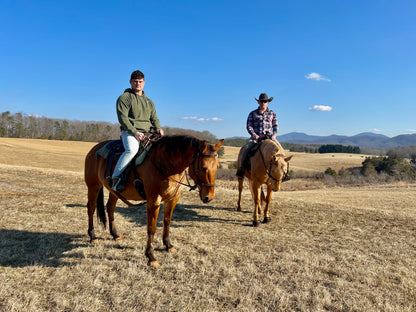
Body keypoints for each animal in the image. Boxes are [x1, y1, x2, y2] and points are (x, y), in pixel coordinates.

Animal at [83, 134, 224, 266]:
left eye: (217, 166)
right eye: (203, 167)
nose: (208, 197)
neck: (165, 163)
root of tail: (94, 149)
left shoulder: (172, 199)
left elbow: (167, 222)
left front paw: (168, 245)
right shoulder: (153, 200)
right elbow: (152, 227)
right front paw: (151, 256)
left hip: (114, 192)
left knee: (110, 208)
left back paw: (115, 235)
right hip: (93, 186)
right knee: (91, 209)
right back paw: (93, 236)